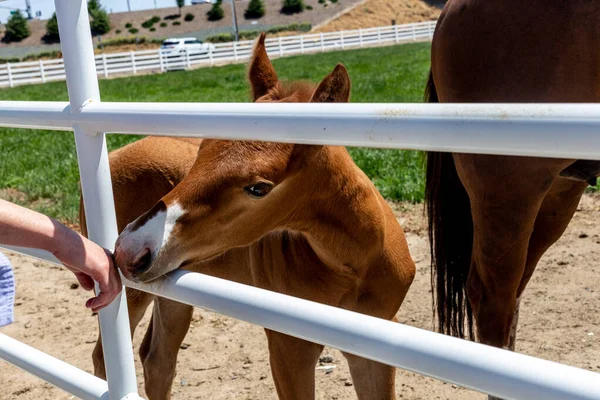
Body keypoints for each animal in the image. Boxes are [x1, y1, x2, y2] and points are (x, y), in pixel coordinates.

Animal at [88, 34, 418, 400]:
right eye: (201, 150)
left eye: (258, 188)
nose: (130, 248)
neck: (353, 265)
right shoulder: (289, 348)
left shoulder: (375, 346)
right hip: (132, 294)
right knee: (105, 358)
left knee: (157, 359)